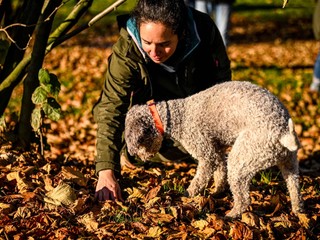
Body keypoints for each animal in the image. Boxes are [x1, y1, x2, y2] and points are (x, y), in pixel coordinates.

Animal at [124, 80, 302, 218]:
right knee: (295, 190)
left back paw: (231, 215)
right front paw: (217, 191)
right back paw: (298, 212)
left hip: (242, 159)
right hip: (290, 164)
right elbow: (220, 172)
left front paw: (187, 195)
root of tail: (282, 132)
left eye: (138, 144)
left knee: (244, 199)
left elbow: (200, 179)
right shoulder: (217, 150)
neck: (178, 116)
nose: (142, 158)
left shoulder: (206, 154)